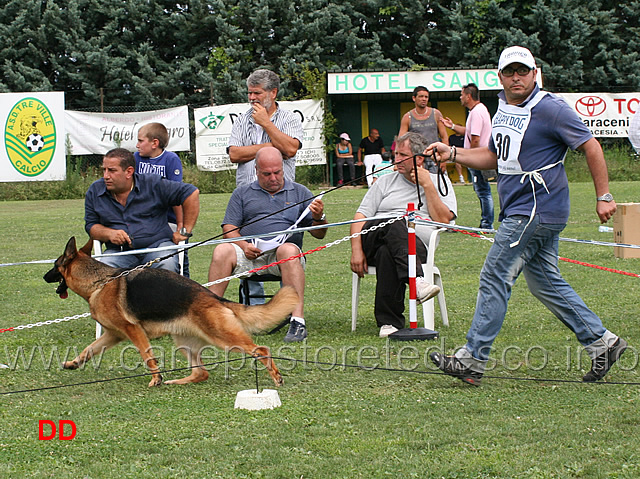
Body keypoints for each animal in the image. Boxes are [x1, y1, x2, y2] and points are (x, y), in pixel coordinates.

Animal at [42, 238, 298, 388]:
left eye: (55, 266)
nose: (44, 277)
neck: (99, 282)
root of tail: (215, 298)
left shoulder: (132, 330)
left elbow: (148, 356)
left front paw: (156, 379)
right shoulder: (113, 335)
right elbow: (88, 350)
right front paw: (73, 363)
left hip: (223, 338)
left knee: (261, 350)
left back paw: (276, 376)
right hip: (184, 342)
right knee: (201, 373)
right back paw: (178, 381)